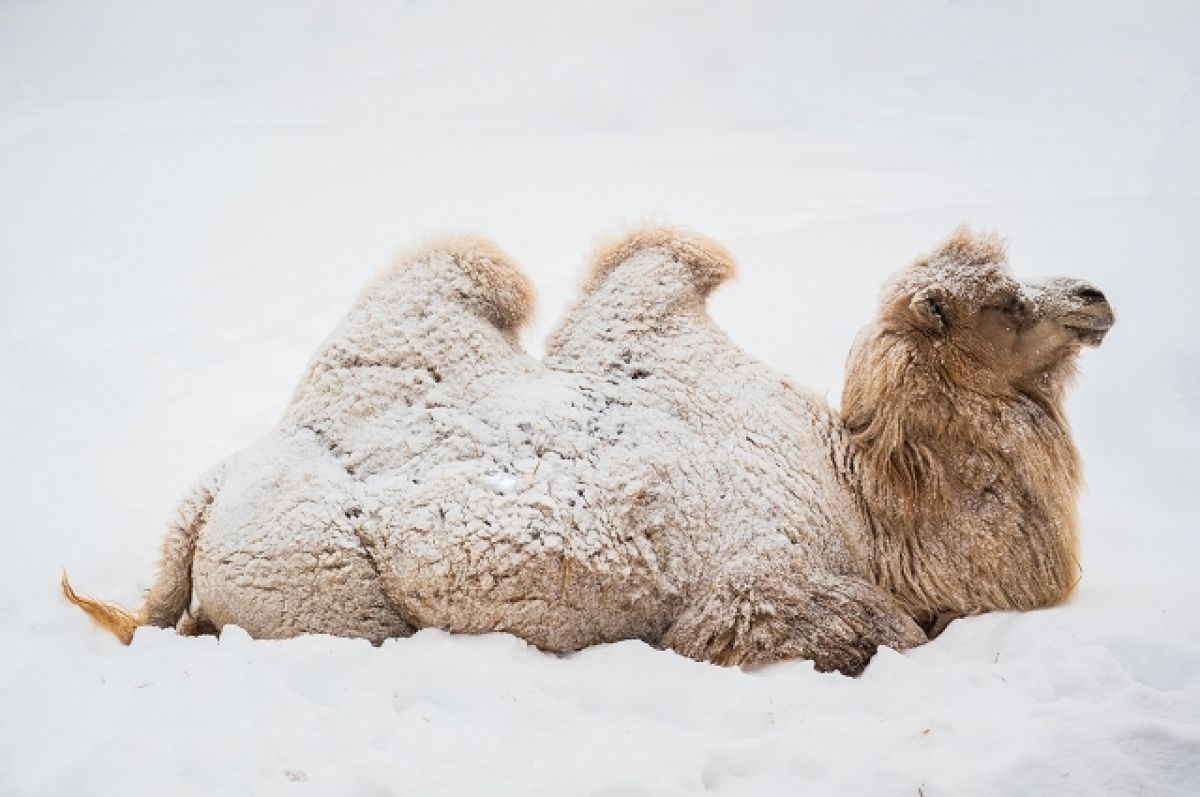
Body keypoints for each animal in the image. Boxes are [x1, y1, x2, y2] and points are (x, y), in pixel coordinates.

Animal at [63, 224, 1113, 672]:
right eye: (1003, 302)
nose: (1094, 295)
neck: (869, 497)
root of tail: (210, 497)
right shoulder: (760, 592)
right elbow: (875, 630)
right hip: (322, 596)